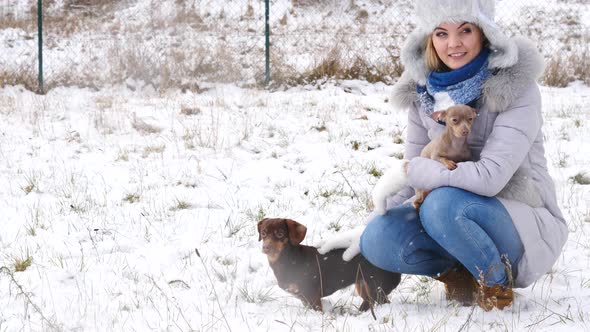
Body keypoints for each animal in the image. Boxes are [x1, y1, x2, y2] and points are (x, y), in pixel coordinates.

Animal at [260, 218, 402, 314]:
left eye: (280, 234)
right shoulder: (303, 298)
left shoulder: (312, 296)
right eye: (263, 233)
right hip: (363, 286)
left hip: (376, 288)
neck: (288, 260)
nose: (266, 247)